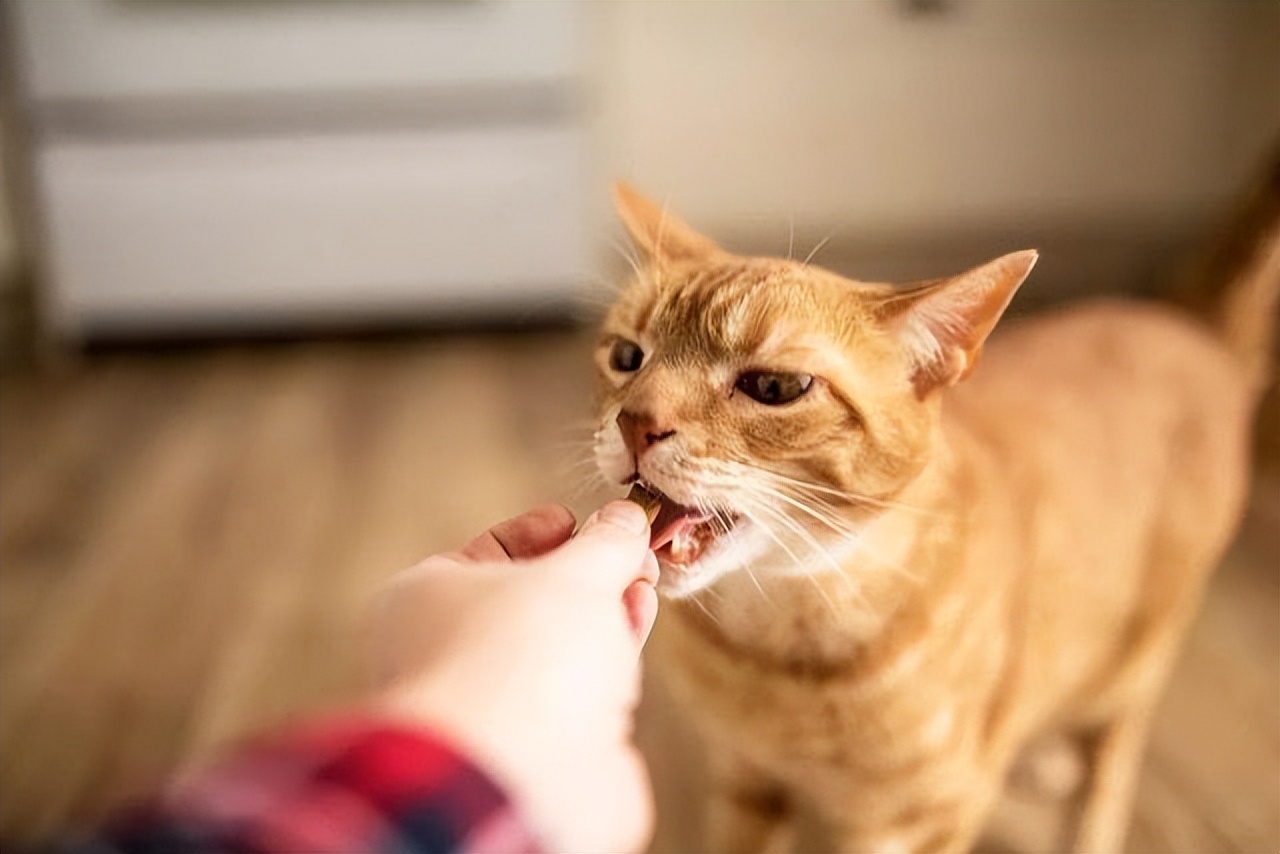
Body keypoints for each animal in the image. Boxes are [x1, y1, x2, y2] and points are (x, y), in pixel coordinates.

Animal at [596, 179, 1280, 850]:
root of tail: (1194, 328)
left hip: (1136, 659)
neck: (773, 649)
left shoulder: (921, 821)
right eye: (627, 357)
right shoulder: (747, 778)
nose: (636, 422)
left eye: (775, 388)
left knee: (1111, 757)